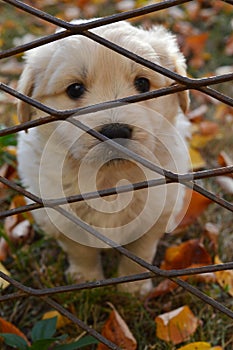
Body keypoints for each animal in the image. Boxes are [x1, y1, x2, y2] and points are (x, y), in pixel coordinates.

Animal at [17, 20, 190, 294]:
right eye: (75, 89)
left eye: (143, 84)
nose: (115, 131)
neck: (110, 178)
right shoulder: (60, 215)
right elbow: (80, 251)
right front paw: (86, 279)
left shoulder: (158, 211)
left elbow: (140, 252)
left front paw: (133, 289)